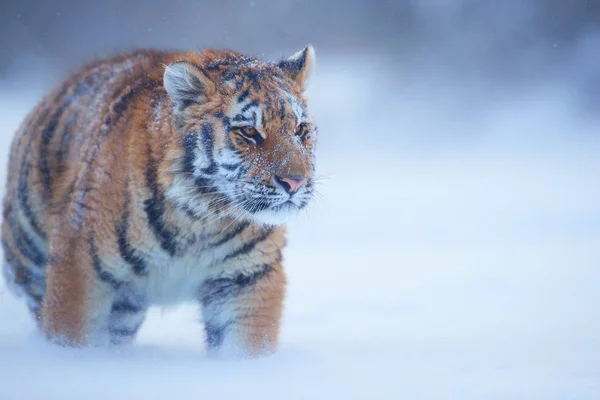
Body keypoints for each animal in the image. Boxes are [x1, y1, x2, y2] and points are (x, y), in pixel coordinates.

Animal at [1, 45, 318, 358]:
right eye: (249, 132)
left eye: (300, 130)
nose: (295, 182)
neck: (202, 217)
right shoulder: (78, 269)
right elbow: (70, 336)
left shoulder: (247, 278)